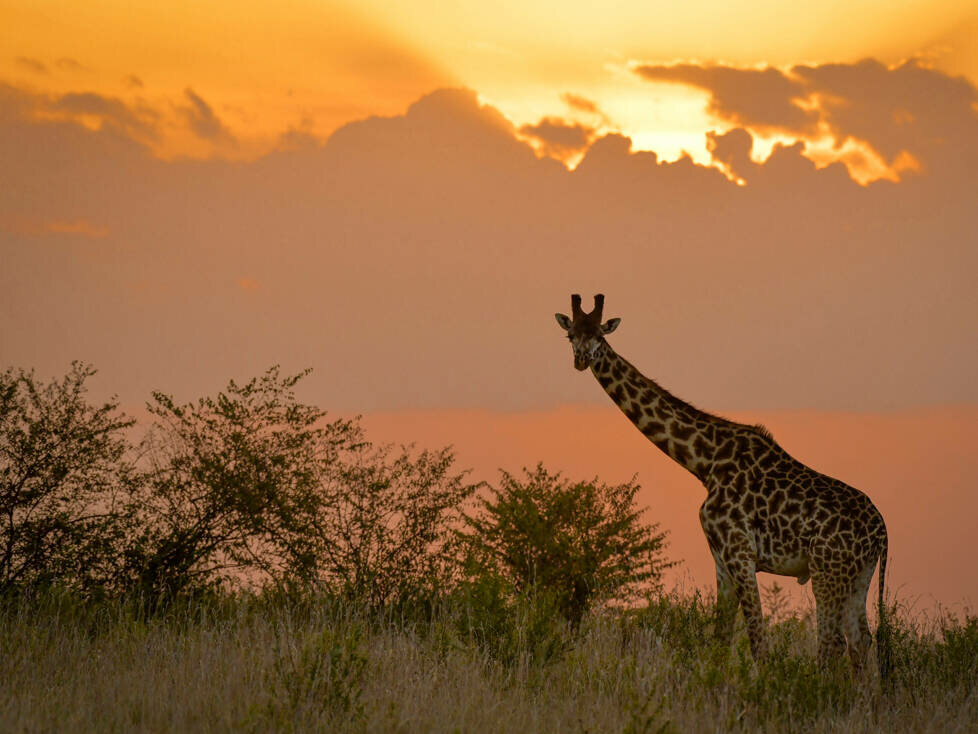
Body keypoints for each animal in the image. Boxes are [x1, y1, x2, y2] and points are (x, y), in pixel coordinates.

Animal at [552, 294, 888, 680]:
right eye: (571, 335)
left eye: (599, 336)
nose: (581, 359)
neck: (705, 462)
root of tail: (882, 531)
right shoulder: (721, 559)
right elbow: (720, 641)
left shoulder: (740, 552)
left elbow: (757, 640)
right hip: (859, 575)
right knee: (861, 641)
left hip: (826, 570)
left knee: (832, 643)